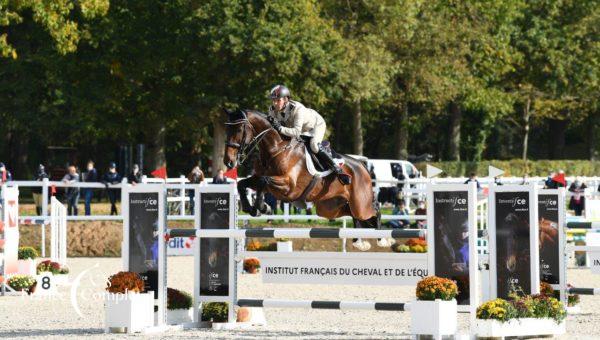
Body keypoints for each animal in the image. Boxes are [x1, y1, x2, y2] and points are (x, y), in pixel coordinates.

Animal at [223, 107, 392, 251]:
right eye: (227, 129)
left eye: (239, 129)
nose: (228, 162)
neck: (276, 148)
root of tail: (363, 167)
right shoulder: (263, 180)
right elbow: (243, 183)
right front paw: (252, 208)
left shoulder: (289, 187)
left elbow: (263, 181)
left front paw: (262, 207)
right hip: (330, 208)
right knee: (354, 215)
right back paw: (359, 241)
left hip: (360, 204)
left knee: (375, 210)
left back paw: (382, 239)